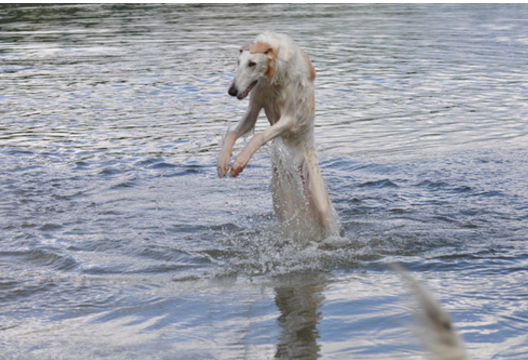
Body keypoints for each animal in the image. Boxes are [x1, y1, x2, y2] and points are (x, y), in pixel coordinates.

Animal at [218, 31, 338, 239]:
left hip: (321, 203)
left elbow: (259, 136)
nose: (232, 91)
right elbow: (232, 133)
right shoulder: (254, 110)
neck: (273, 77)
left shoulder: (290, 120)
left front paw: (240, 162)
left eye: (252, 64)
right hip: (282, 194)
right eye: (238, 62)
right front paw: (223, 162)